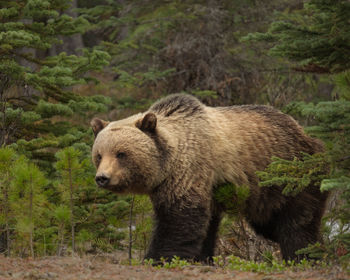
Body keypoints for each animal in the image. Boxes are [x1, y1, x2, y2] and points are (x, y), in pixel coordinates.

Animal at [90, 94, 328, 262]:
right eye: (99, 155)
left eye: (121, 154)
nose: (102, 178)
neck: (167, 165)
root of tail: (305, 133)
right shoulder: (207, 188)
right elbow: (204, 226)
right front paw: (202, 258)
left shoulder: (190, 170)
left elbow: (178, 219)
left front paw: (157, 258)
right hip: (263, 195)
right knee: (271, 225)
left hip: (291, 177)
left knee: (296, 223)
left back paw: (305, 255)